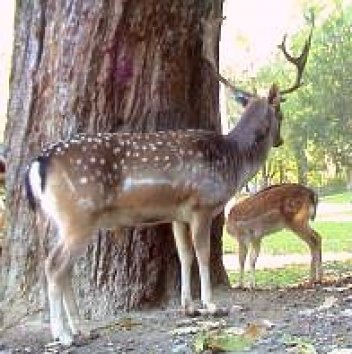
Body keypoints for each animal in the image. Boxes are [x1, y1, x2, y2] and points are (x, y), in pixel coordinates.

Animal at [24, 15, 314, 348]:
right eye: (281, 113)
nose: (279, 141)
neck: (232, 161)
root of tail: (38, 164)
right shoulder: (202, 205)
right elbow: (202, 253)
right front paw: (212, 305)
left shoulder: (177, 213)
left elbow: (184, 255)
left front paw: (188, 306)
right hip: (78, 216)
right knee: (54, 265)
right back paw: (64, 335)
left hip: (63, 221)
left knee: (63, 268)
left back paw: (82, 330)